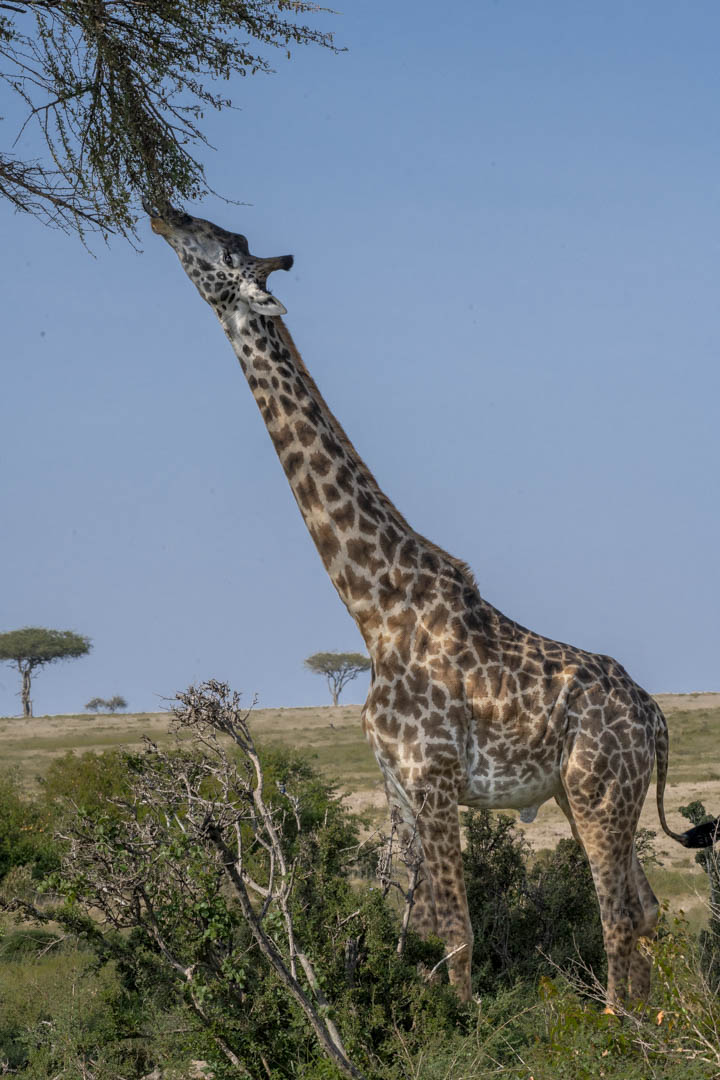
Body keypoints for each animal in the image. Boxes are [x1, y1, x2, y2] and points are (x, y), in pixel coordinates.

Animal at [146, 203, 718, 1007]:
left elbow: (455, 931)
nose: (163, 211)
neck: (373, 605)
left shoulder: (436, 776)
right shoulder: (395, 783)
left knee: (618, 914)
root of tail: (659, 721)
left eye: (220, 245)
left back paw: (617, 1025)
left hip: (600, 790)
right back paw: (651, 1019)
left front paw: (468, 1022)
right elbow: (411, 927)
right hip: (584, 793)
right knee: (646, 906)